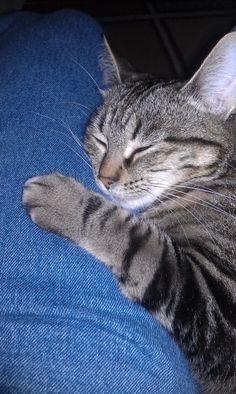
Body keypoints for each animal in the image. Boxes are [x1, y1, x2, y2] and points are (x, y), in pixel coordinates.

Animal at [22, 32, 236, 392]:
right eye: (100, 139)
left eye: (145, 147)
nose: (104, 179)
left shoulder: (214, 308)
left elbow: (135, 237)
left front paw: (61, 198)